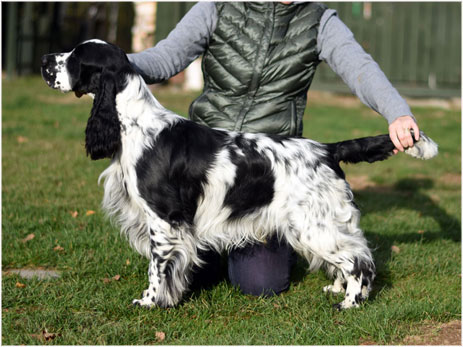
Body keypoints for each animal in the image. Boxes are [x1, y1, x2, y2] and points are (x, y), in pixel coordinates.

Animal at [40, 40, 438, 310]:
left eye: (74, 58)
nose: (44, 60)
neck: (136, 124)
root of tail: (327, 149)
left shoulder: (163, 217)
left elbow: (158, 266)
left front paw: (150, 301)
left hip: (314, 225)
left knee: (359, 261)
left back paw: (349, 302)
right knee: (351, 253)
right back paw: (337, 290)